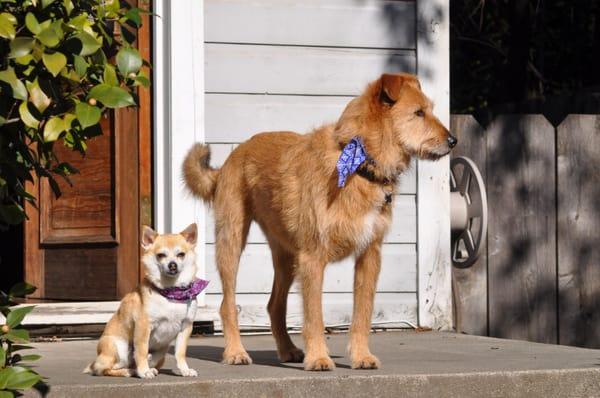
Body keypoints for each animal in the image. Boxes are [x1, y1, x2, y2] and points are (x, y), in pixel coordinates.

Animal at [83, 224, 207, 380]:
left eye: (181, 254)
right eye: (161, 255)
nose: (172, 265)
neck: (171, 292)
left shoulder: (185, 327)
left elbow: (180, 353)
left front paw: (185, 370)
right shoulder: (144, 326)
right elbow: (141, 350)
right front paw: (143, 371)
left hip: (162, 354)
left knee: (146, 360)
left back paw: (139, 368)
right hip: (116, 347)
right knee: (105, 369)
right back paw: (130, 371)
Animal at [183, 70, 454, 370]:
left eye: (430, 110)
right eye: (418, 113)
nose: (453, 141)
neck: (361, 166)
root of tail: (228, 162)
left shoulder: (369, 256)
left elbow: (363, 314)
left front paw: (361, 356)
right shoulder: (313, 258)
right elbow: (314, 316)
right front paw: (319, 358)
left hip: (286, 257)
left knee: (274, 305)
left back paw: (288, 350)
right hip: (231, 243)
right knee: (227, 303)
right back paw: (235, 352)